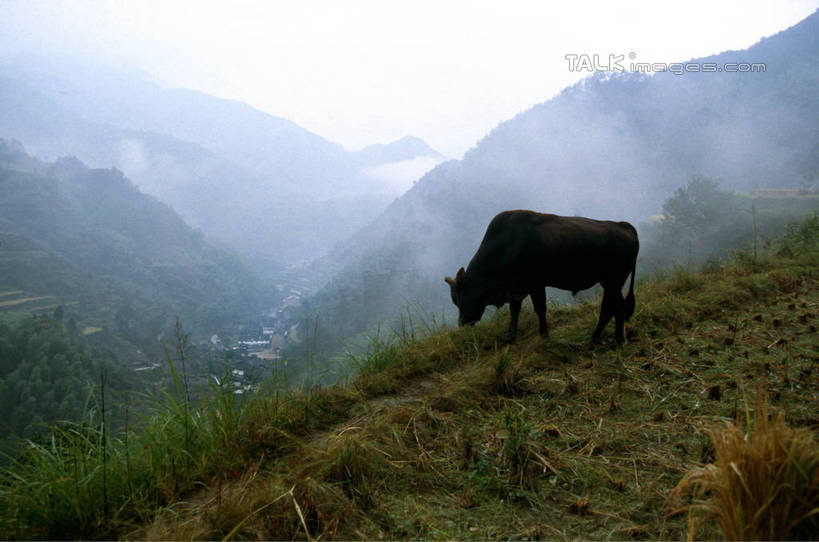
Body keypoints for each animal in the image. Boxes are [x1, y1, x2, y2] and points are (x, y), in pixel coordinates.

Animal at [448, 210, 640, 346]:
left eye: (458, 296)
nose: (462, 324)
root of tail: (624, 226)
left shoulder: (535, 284)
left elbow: (539, 309)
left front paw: (544, 335)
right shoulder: (517, 288)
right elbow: (514, 312)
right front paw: (510, 337)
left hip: (614, 281)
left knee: (617, 307)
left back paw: (618, 340)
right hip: (610, 283)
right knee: (609, 308)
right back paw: (596, 338)